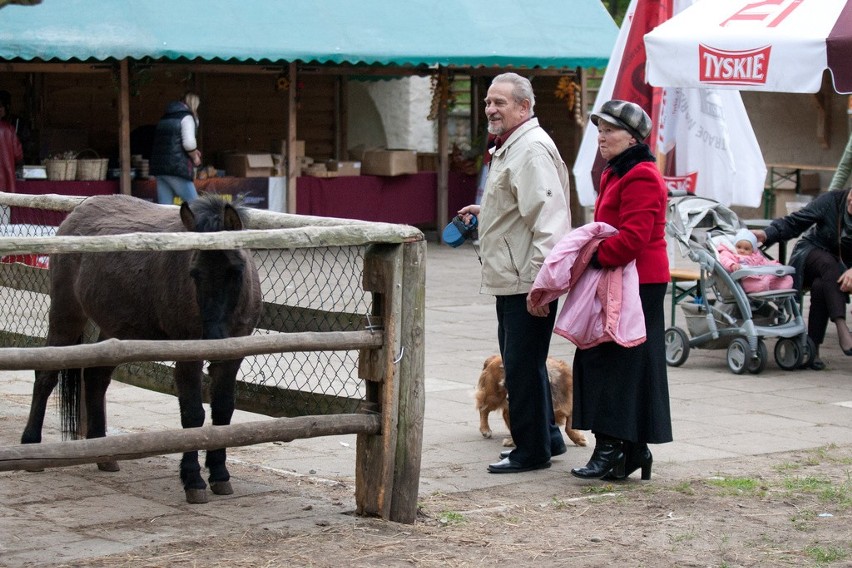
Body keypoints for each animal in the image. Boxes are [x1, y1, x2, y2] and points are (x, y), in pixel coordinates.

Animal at [22, 193, 262, 504]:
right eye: (194, 273)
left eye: (236, 271)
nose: (213, 338)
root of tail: (77, 210)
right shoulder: (188, 357)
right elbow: (193, 415)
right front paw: (193, 480)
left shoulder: (233, 357)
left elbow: (222, 412)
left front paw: (220, 475)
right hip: (66, 314)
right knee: (46, 375)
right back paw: (31, 447)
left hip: (114, 330)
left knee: (96, 377)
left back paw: (104, 455)